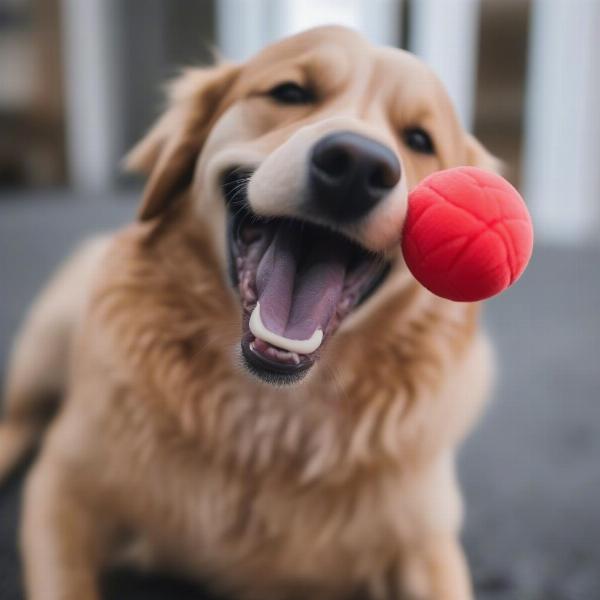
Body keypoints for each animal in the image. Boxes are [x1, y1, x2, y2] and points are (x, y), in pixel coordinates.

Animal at [0, 25, 496, 596]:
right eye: (290, 92)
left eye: (419, 140)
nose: (357, 164)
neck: (265, 420)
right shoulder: (61, 489)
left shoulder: (426, 542)